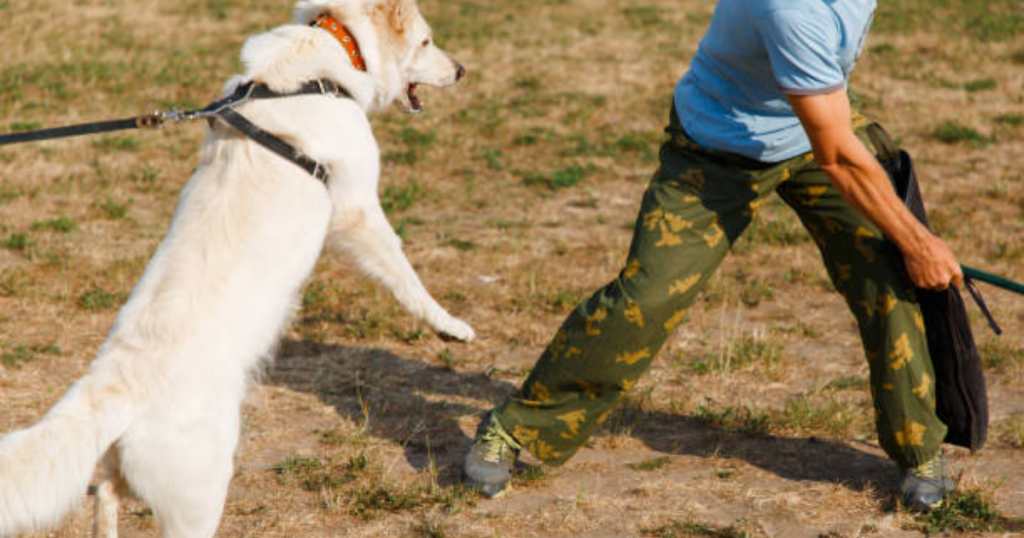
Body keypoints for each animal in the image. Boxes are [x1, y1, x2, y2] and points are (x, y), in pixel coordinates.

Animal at [0, 2, 471, 532]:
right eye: (427, 42)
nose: (461, 70)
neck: (320, 62)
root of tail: (111, 385)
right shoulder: (357, 210)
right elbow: (404, 272)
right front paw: (450, 326)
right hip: (200, 495)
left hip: (133, 468)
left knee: (104, 491)